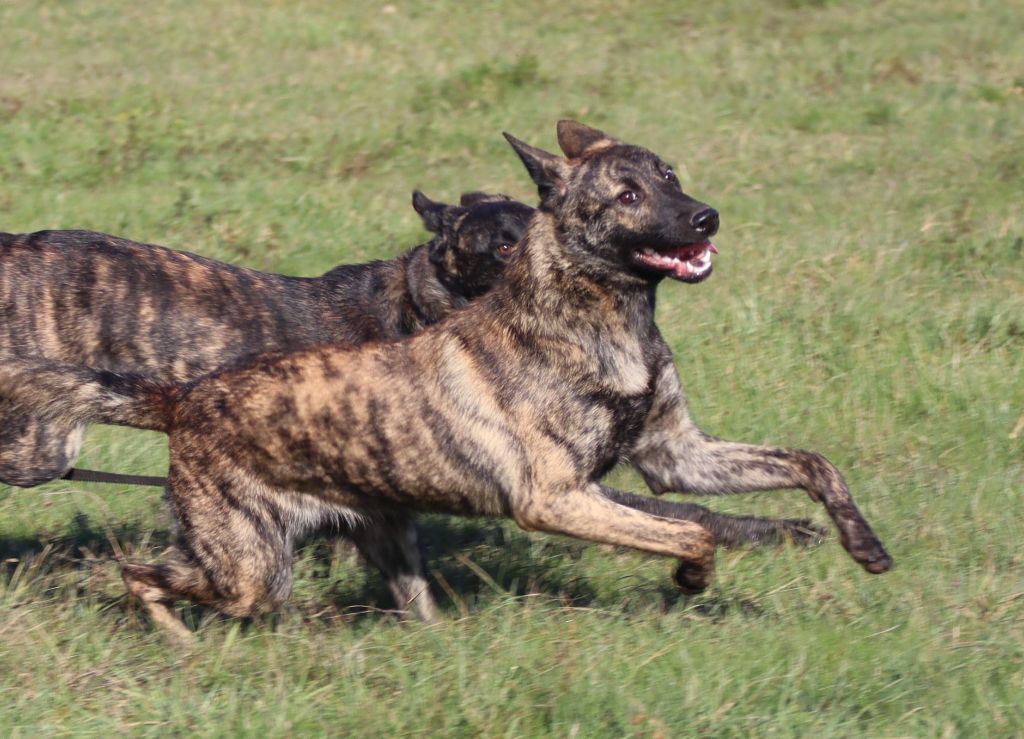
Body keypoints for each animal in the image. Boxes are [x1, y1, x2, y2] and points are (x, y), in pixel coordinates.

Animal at [0, 120, 888, 634]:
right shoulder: (558, 495)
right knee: (137, 574)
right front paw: (693, 575)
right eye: (627, 193)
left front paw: (862, 541)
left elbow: (810, 465)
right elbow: (695, 525)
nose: (706, 217)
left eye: (671, 175)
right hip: (230, 554)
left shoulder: (677, 454)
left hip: (348, 535)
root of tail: (184, 398)